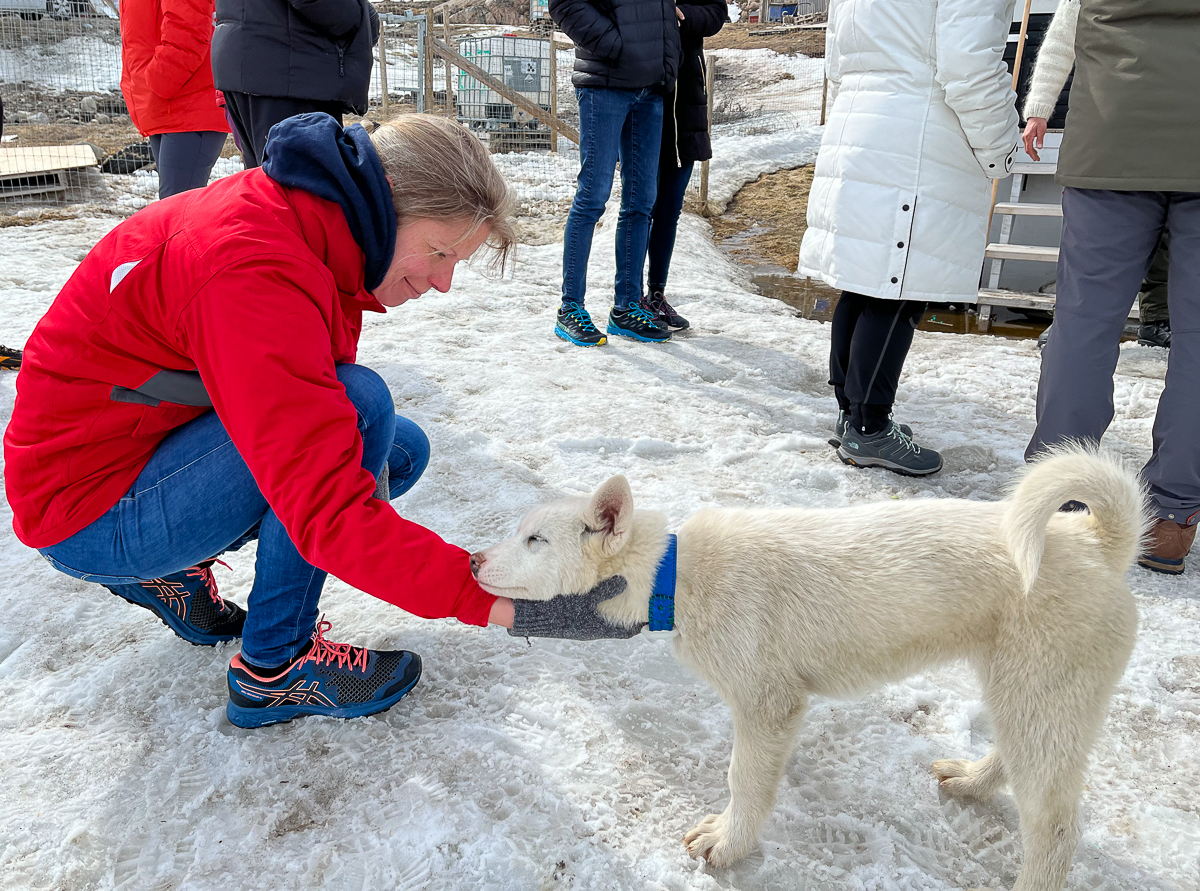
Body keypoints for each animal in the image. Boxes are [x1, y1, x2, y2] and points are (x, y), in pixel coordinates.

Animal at [470, 453, 1142, 891]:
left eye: (534, 540)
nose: (473, 560)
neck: (673, 574)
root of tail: (1095, 541)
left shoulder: (768, 704)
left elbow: (744, 779)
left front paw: (728, 842)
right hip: (1023, 691)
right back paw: (973, 781)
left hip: (1042, 693)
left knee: (1055, 828)